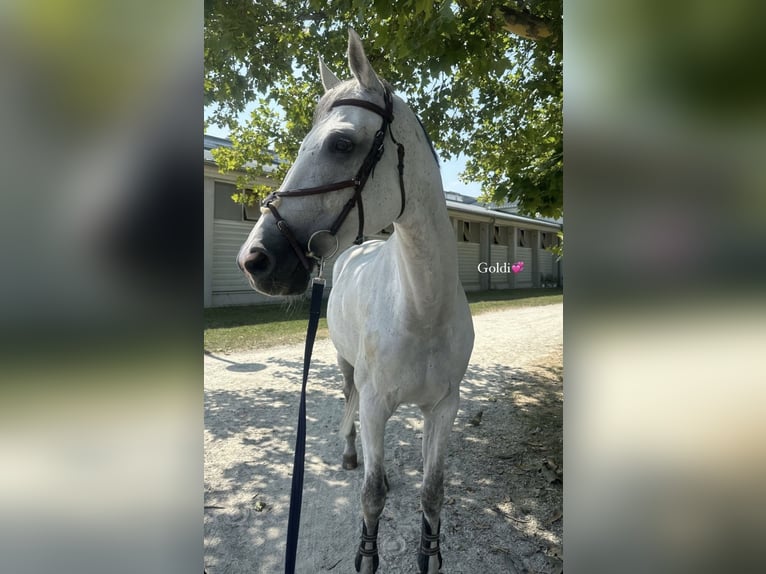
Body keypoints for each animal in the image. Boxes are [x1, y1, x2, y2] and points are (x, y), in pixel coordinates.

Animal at [237, 29, 474, 572]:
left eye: (341, 143)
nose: (254, 259)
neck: (420, 308)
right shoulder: (375, 403)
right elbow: (371, 499)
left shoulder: (444, 408)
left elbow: (433, 495)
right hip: (347, 366)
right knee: (348, 400)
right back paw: (350, 454)